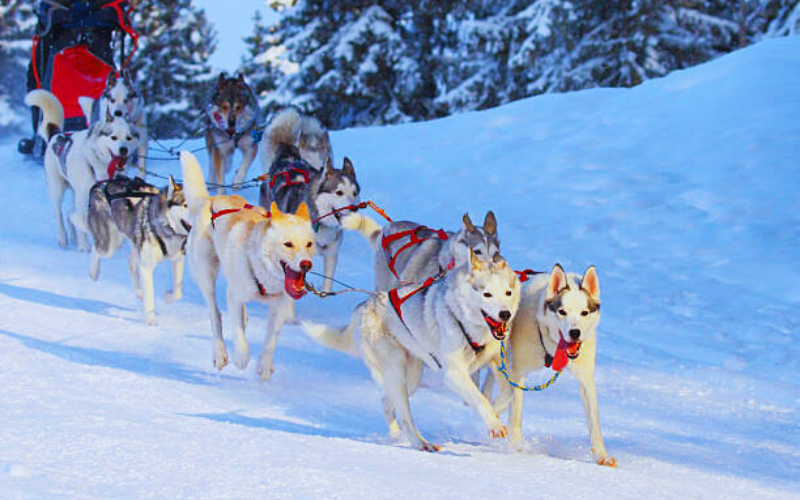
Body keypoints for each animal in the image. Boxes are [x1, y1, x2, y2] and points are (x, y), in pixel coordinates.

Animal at [26, 88, 142, 252]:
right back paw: (63, 238)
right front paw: (85, 246)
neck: (100, 166)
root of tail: (57, 135)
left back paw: (74, 238)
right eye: (113, 137)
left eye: (129, 137)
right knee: (59, 213)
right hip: (58, 188)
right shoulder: (83, 196)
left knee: (70, 214)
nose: (123, 149)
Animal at [87, 175, 192, 324]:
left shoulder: (177, 259)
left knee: (131, 264)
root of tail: (101, 184)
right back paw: (93, 273)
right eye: (185, 205)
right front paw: (151, 321)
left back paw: (139, 292)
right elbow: (150, 296)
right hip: (110, 244)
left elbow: (178, 293)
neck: (166, 227)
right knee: (97, 248)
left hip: (131, 241)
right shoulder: (146, 266)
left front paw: (167, 297)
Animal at [181, 150, 316, 380]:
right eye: (288, 244)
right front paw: (242, 356)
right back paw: (220, 352)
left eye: (308, 244)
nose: (306, 264)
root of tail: (210, 200)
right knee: (215, 314)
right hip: (206, 274)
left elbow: (271, 339)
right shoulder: (234, 295)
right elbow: (237, 332)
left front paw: (265, 364)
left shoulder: (279, 305)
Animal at [304, 252, 520, 452]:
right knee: (405, 416)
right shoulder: (454, 373)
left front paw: (496, 410)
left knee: (386, 403)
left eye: (508, 293)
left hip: (412, 377)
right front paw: (494, 423)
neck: (466, 323)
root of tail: (366, 304)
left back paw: (396, 436)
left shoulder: (497, 360)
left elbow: (508, 392)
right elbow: (479, 398)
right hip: (396, 372)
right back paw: (421, 443)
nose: (505, 314)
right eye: (487, 294)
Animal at [490, 264, 616, 466]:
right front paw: (516, 447)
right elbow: (515, 413)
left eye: (584, 312)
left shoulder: (586, 379)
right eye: (562, 312)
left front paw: (601, 455)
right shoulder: (517, 372)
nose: (575, 332)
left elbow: (594, 422)